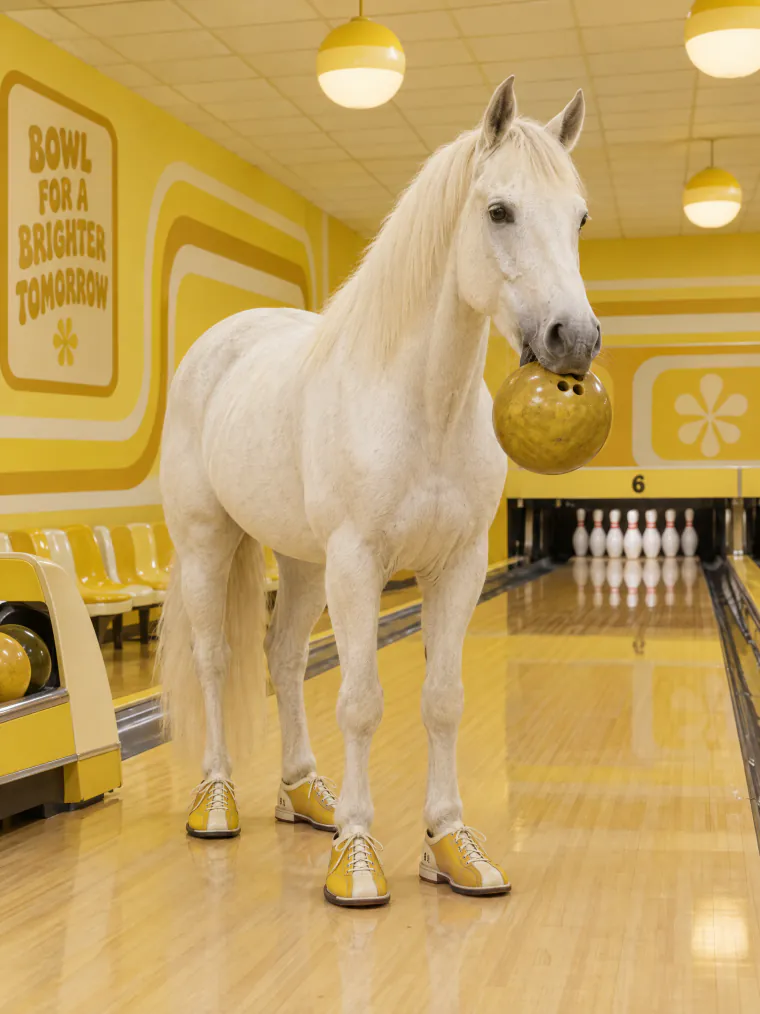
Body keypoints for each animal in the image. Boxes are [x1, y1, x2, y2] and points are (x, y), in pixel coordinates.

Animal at [157, 76, 600, 907]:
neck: (424, 402)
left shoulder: (458, 564)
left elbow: (443, 700)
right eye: (499, 210)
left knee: (282, 657)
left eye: (580, 216)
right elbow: (361, 703)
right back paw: (218, 802)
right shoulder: (360, 561)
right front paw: (358, 858)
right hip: (209, 541)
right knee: (215, 658)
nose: (577, 338)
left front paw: (453, 848)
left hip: (303, 563)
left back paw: (305, 796)